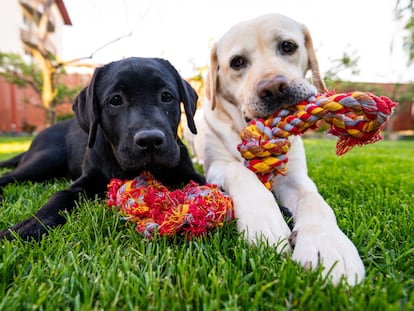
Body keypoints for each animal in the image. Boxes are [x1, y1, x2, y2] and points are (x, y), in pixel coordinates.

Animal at [0, 56, 206, 241]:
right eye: (115, 100)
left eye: (166, 96)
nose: (150, 140)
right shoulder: (85, 180)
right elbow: (60, 196)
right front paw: (28, 226)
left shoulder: (190, 173)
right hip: (46, 159)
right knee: (8, 176)